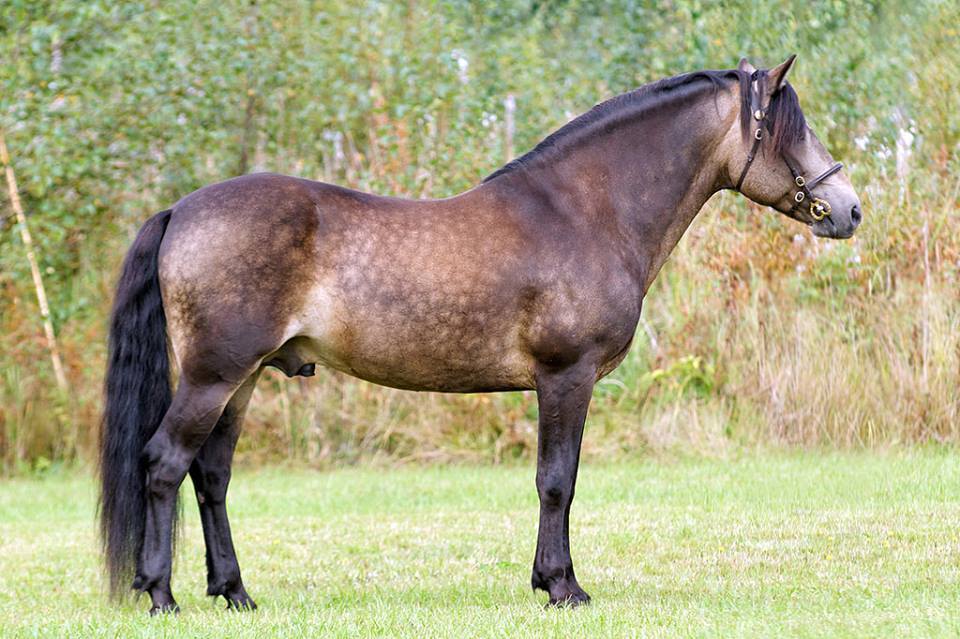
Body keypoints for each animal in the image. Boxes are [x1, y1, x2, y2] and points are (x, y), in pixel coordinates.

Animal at [99, 56, 864, 616]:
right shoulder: (566, 377)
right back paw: (161, 595)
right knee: (164, 463)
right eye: (787, 130)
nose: (849, 209)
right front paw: (562, 586)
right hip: (214, 375)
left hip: (245, 378)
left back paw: (235, 593)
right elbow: (557, 481)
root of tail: (179, 210)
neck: (585, 211)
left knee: (212, 475)